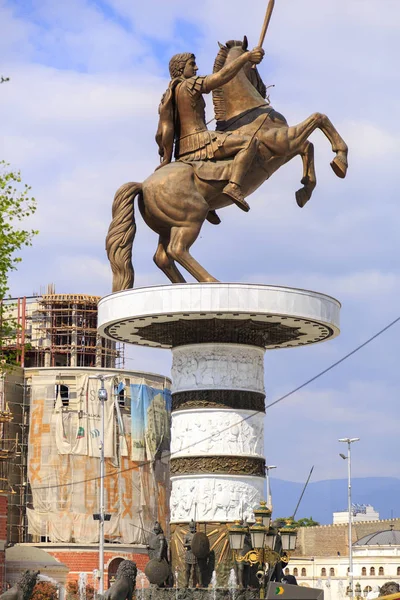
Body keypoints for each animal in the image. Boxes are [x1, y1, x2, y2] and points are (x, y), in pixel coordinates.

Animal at [106, 37, 346, 290]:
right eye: (255, 68)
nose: (264, 88)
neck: (247, 112)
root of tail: (142, 185)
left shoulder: (285, 148)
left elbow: (308, 146)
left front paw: (305, 190)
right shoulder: (283, 141)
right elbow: (319, 120)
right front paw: (340, 161)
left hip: (167, 224)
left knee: (162, 256)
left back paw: (181, 286)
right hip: (191, 217)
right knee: (177, 249)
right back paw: (210, 280)